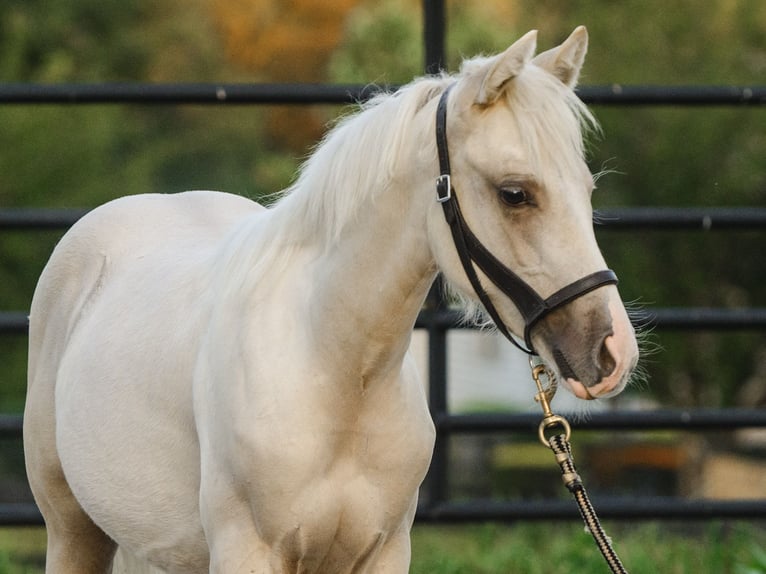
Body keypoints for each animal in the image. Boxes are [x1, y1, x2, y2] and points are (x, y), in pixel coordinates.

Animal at [24, 26, 638, 573]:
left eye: (587, 191)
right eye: (515, 193)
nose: (613, 352)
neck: (336, 376)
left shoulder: (383, 553)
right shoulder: (248, 553)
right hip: (72, 531)